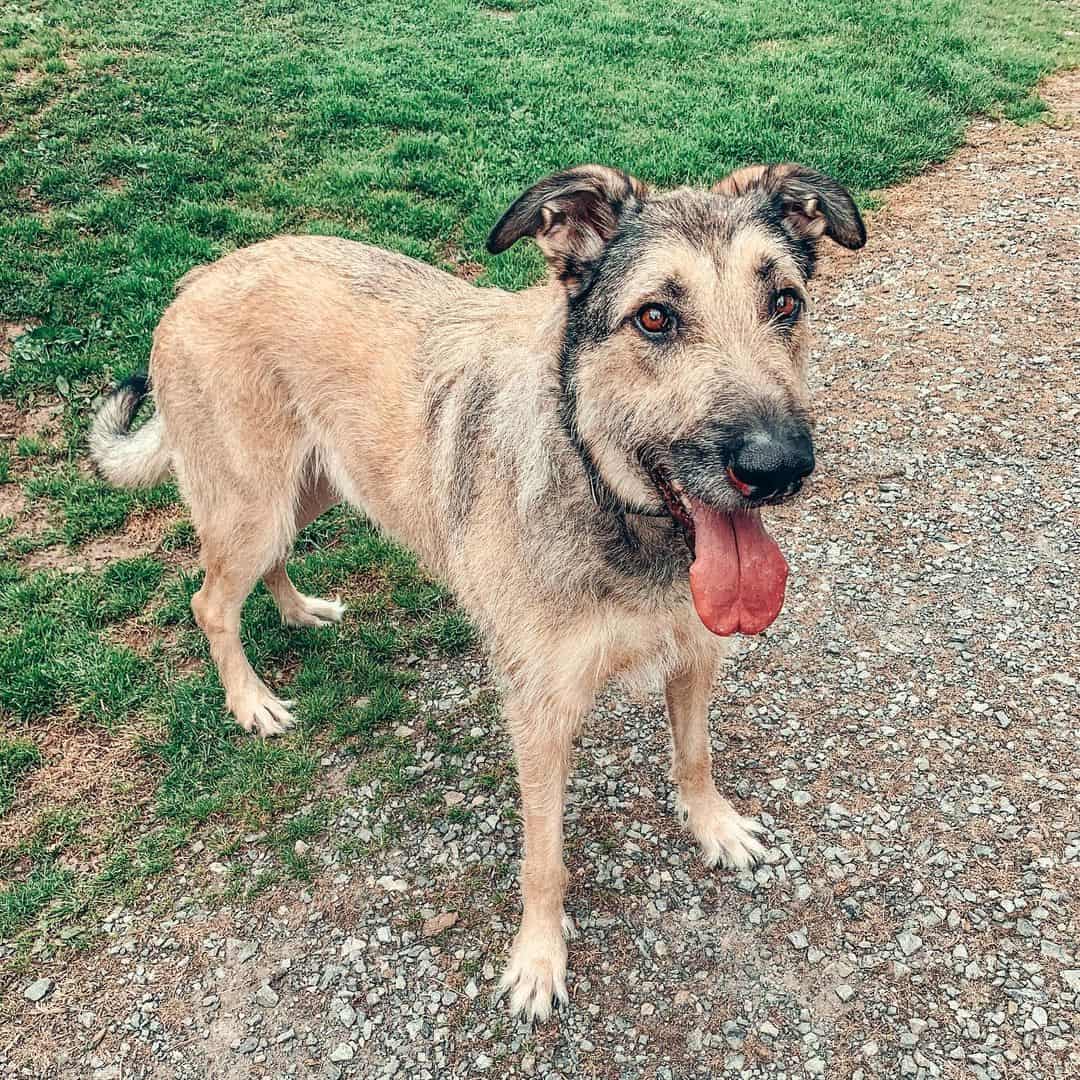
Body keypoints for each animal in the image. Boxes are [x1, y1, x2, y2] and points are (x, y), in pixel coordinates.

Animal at [92, 159, 868, 1019]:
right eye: (655, 318)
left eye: (785, 302)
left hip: (308, 489)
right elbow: (545, 857)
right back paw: (251, 700)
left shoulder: (695, 649)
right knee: (210, 601)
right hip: (253, 503)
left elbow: (695, 757)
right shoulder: (540, 711)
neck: (605, 494)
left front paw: (713, 825)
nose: (779, 467)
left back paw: (299, 611)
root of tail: (198, 277)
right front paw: (538, 960)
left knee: (262, 568)